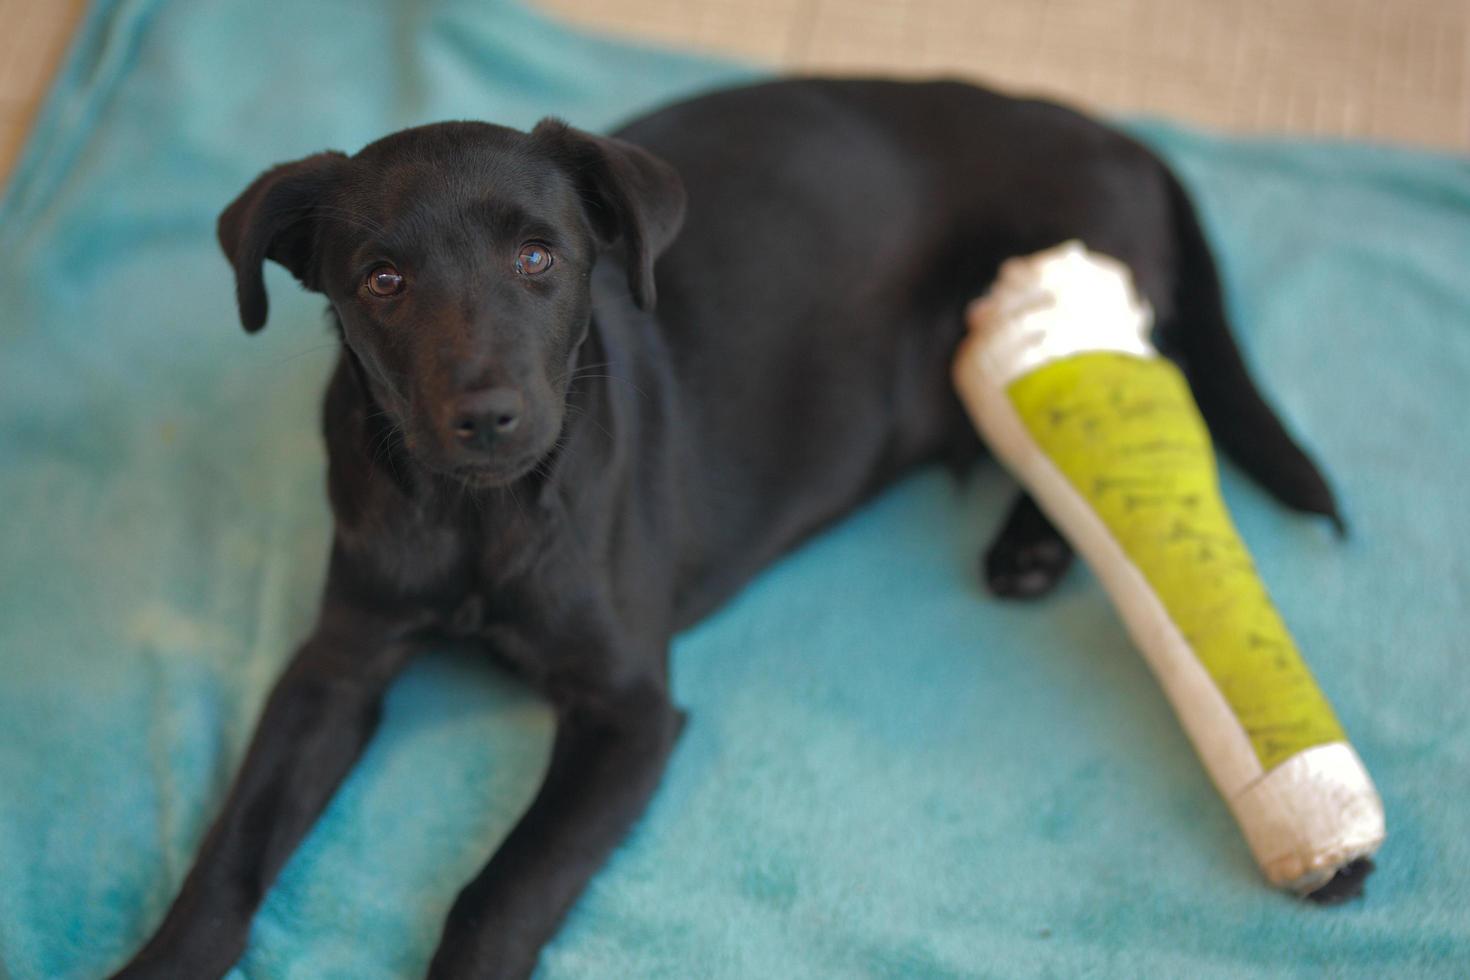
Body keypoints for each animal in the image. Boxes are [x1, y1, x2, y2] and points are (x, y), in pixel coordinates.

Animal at [108, 78, 1346, 980]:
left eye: (539, 258)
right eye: (382, 280)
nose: (487, 414)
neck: (479, 515)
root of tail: (1110, 131)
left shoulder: (629, 713)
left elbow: (497, 889)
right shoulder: (337, 666)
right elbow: (232, 845)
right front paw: (163, 962)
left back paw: (1034, 544)